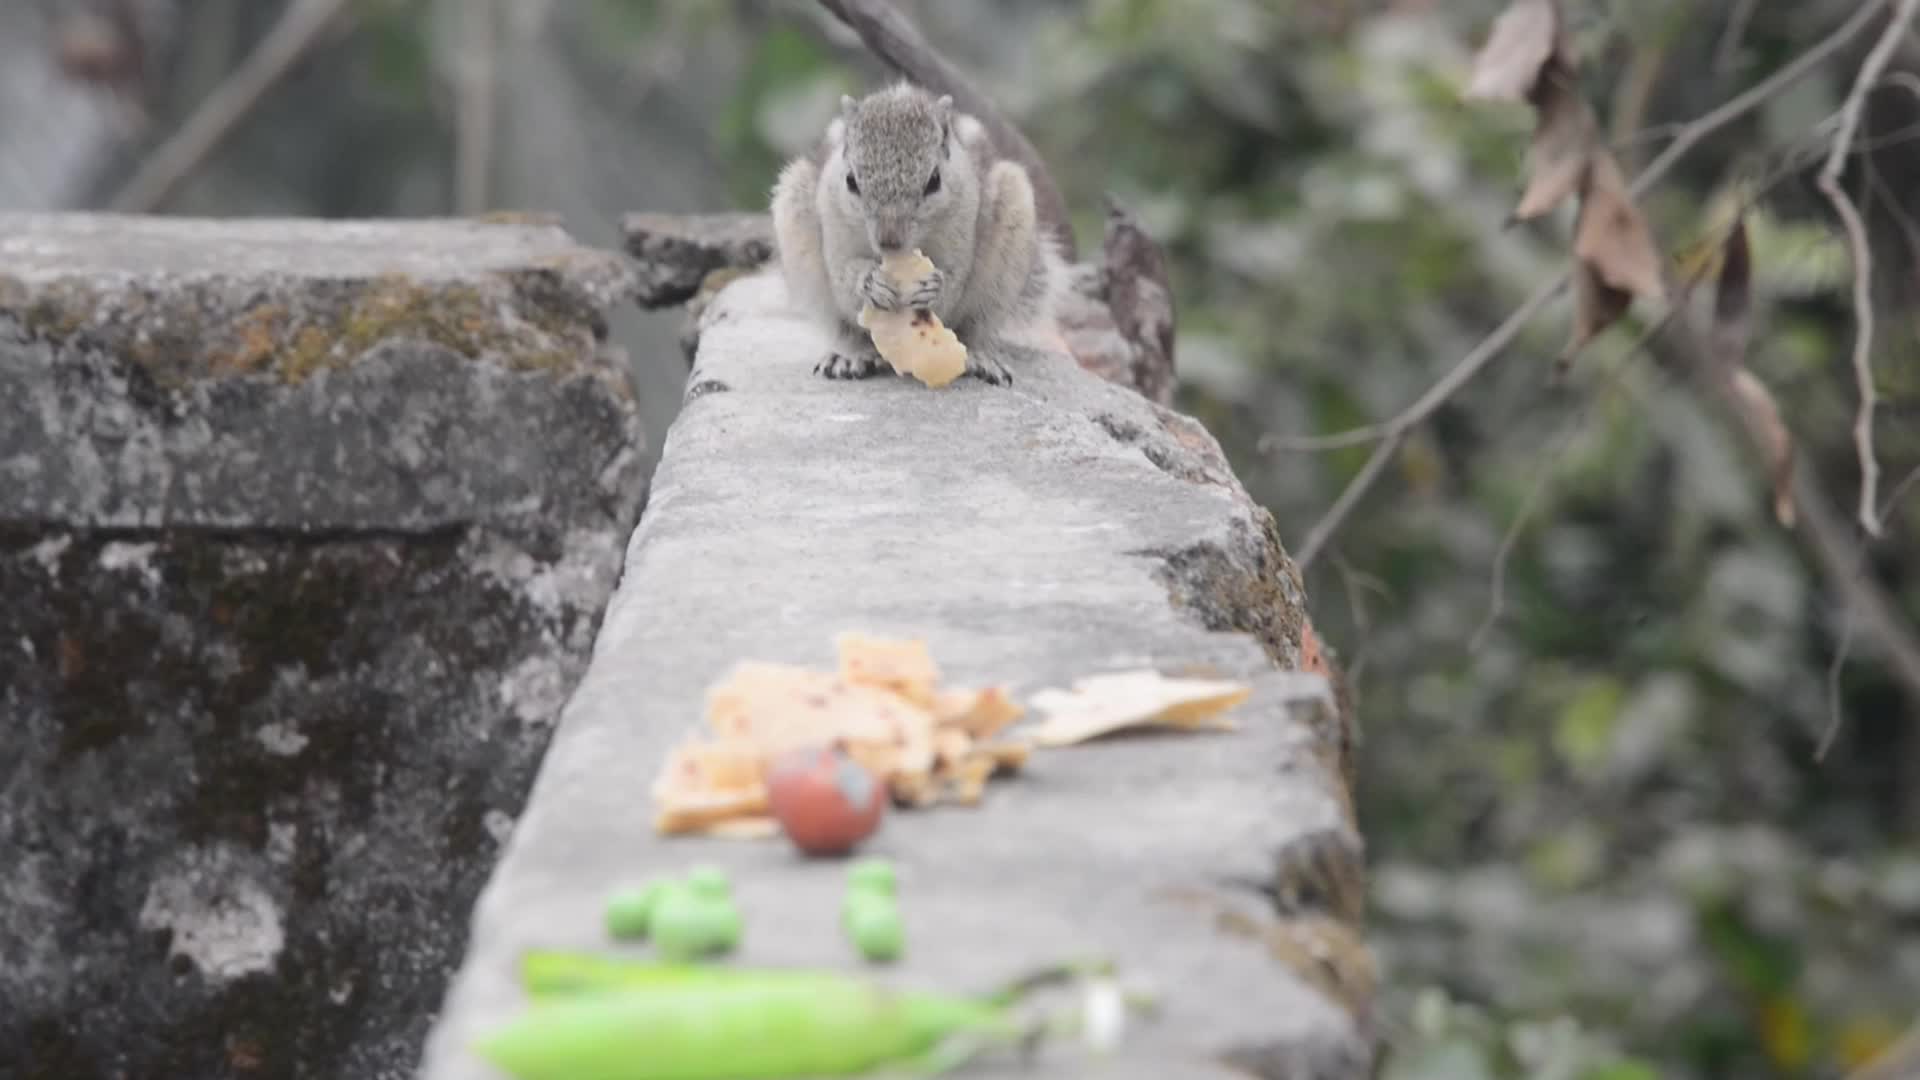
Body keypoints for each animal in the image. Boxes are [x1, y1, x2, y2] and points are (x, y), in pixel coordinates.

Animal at [768, 84, 1067, 386]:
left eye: (934, 181)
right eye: (851, 181)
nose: (889, 241)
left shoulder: (961, 230)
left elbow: (954, 278)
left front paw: (934, 287)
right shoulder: (834, 226)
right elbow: (844, 273)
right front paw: (869, 281)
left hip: (1003, 263)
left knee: (975, 328)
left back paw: (978, 356)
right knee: (845, 329)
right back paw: (849, 355)